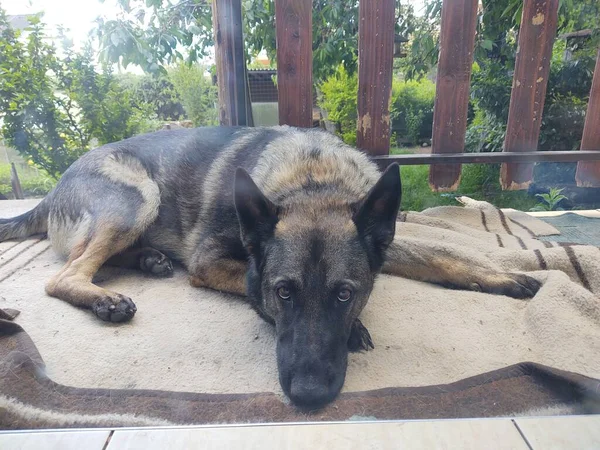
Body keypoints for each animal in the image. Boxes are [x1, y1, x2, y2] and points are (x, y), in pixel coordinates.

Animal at [0, 126, 540, 408]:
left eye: (344, 293)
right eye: (284, 293)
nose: (308, 396)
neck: (313, 180)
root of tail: (51, 189)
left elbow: (441, 256)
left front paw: (503, 277)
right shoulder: (209, 262)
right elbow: (249, 284)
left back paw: (150, 260)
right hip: (139, 197)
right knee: (63, 275)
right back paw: (105, 298)